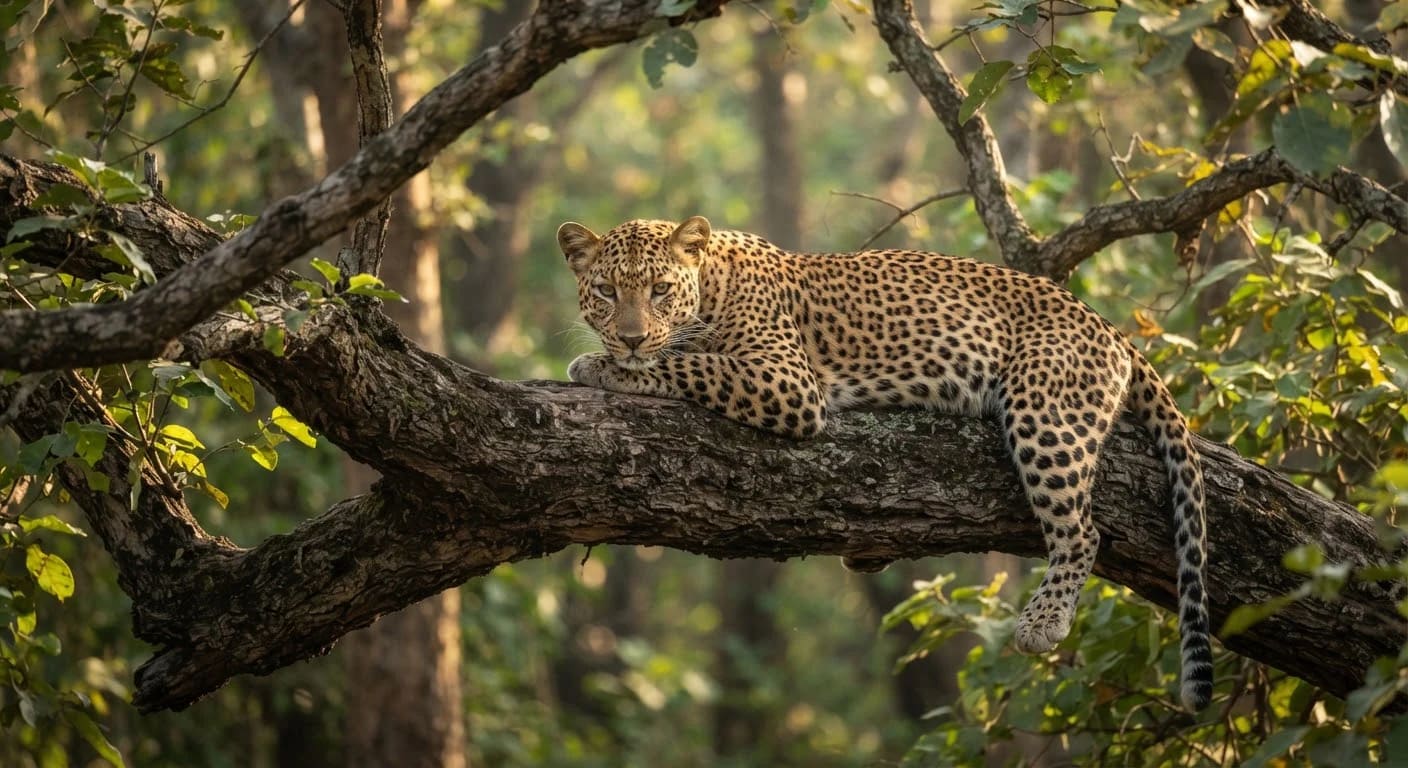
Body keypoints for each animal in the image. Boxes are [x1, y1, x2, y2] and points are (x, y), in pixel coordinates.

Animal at [558, 215, 1213, 711]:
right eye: (607, 291)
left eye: (660, 290)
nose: (630, 337)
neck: (712, 281)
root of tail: (1109, 327)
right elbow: (686, 359)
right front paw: (614, 357)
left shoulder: (787, 382)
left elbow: (689, 364)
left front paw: (605, 367)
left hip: (1045, 413)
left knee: (1082, 530)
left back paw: (1044, 620)